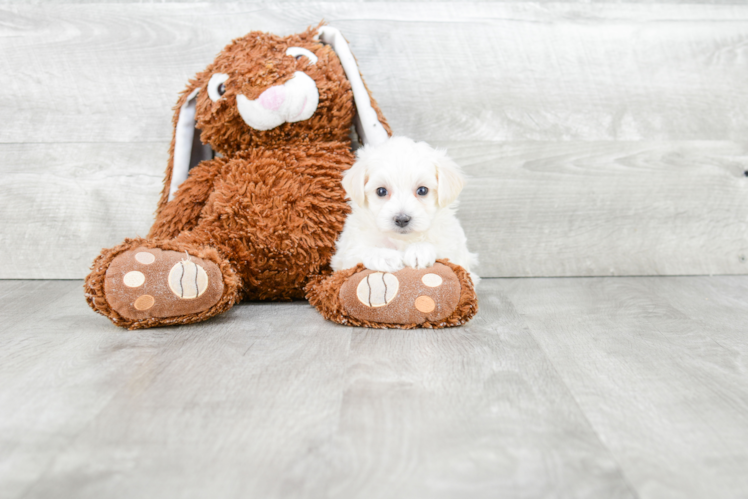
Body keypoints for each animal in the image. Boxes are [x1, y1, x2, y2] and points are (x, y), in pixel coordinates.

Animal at [332, 137, 480, 286]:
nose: (402, 219)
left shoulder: (454, 251)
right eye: (381, 191)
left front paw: (419, 250)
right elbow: (361, 251)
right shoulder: (347, 254)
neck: (402, 240)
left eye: (422, 190)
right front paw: (385, 256)